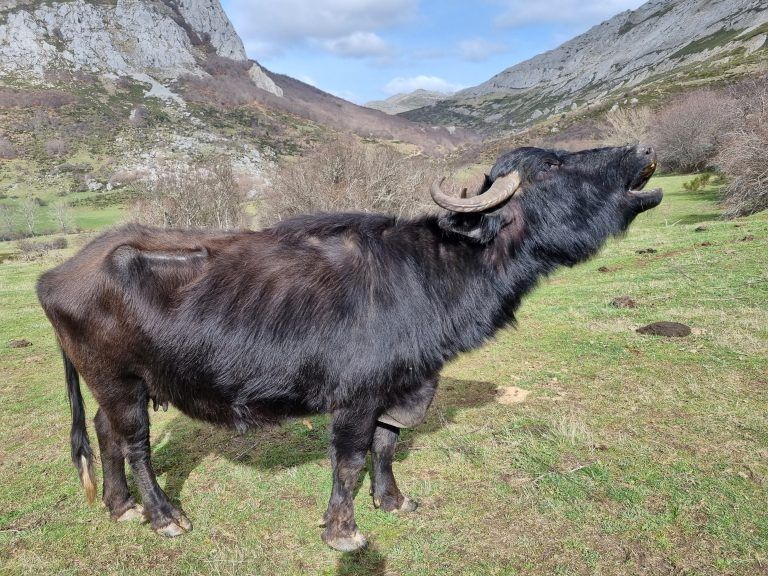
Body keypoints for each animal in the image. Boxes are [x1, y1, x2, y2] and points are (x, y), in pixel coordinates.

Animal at [37, 144, 662, 551]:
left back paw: (119, 506)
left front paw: (394, 501)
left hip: (117, 384)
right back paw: (164, 515)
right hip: (122, 383)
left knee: (104, 431)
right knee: (134, 443)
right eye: (553, 164)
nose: (642, 150)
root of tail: (57, 275)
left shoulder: (406, 385)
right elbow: (351, 459)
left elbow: (386, 448)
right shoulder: (355, 398)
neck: (434, 269)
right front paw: (344, 530)